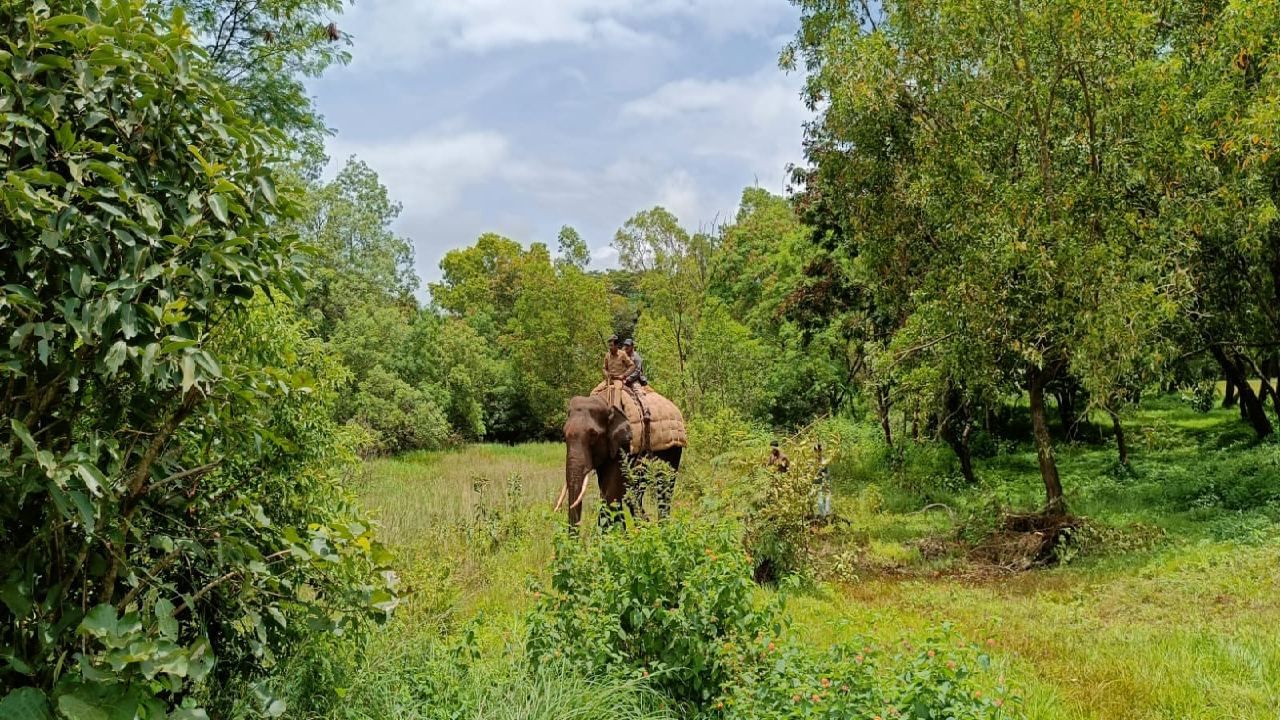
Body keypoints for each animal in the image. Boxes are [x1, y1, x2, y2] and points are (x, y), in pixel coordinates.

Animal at [558, 392, 686, 527]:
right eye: (564, 435)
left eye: (594, 435)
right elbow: (608, 491)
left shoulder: (622, 444)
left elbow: (611, 494)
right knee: (635, 493)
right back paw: (645, 526)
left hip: (673, 448)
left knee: (664, 487)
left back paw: (661, 528)